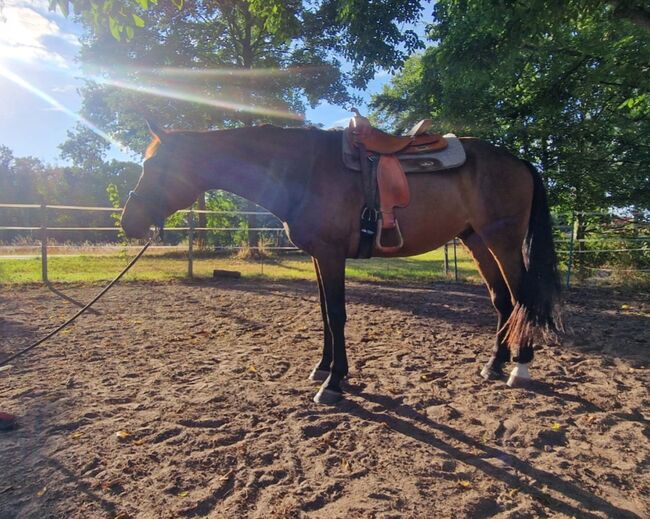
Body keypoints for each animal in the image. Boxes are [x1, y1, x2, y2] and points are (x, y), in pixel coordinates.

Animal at [123, 123, 560, 406]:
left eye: (153, 167)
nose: (129, 222)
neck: (304, 170)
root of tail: (519, 161)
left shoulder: (332, 255)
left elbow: (336, 314)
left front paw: (333, 384)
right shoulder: (320, 255)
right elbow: (324, 313)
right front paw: (323, 368)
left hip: (502, 240)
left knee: (521, 298)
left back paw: (520, 369)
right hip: (476, 241)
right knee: (503, 301)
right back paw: (494, 364)